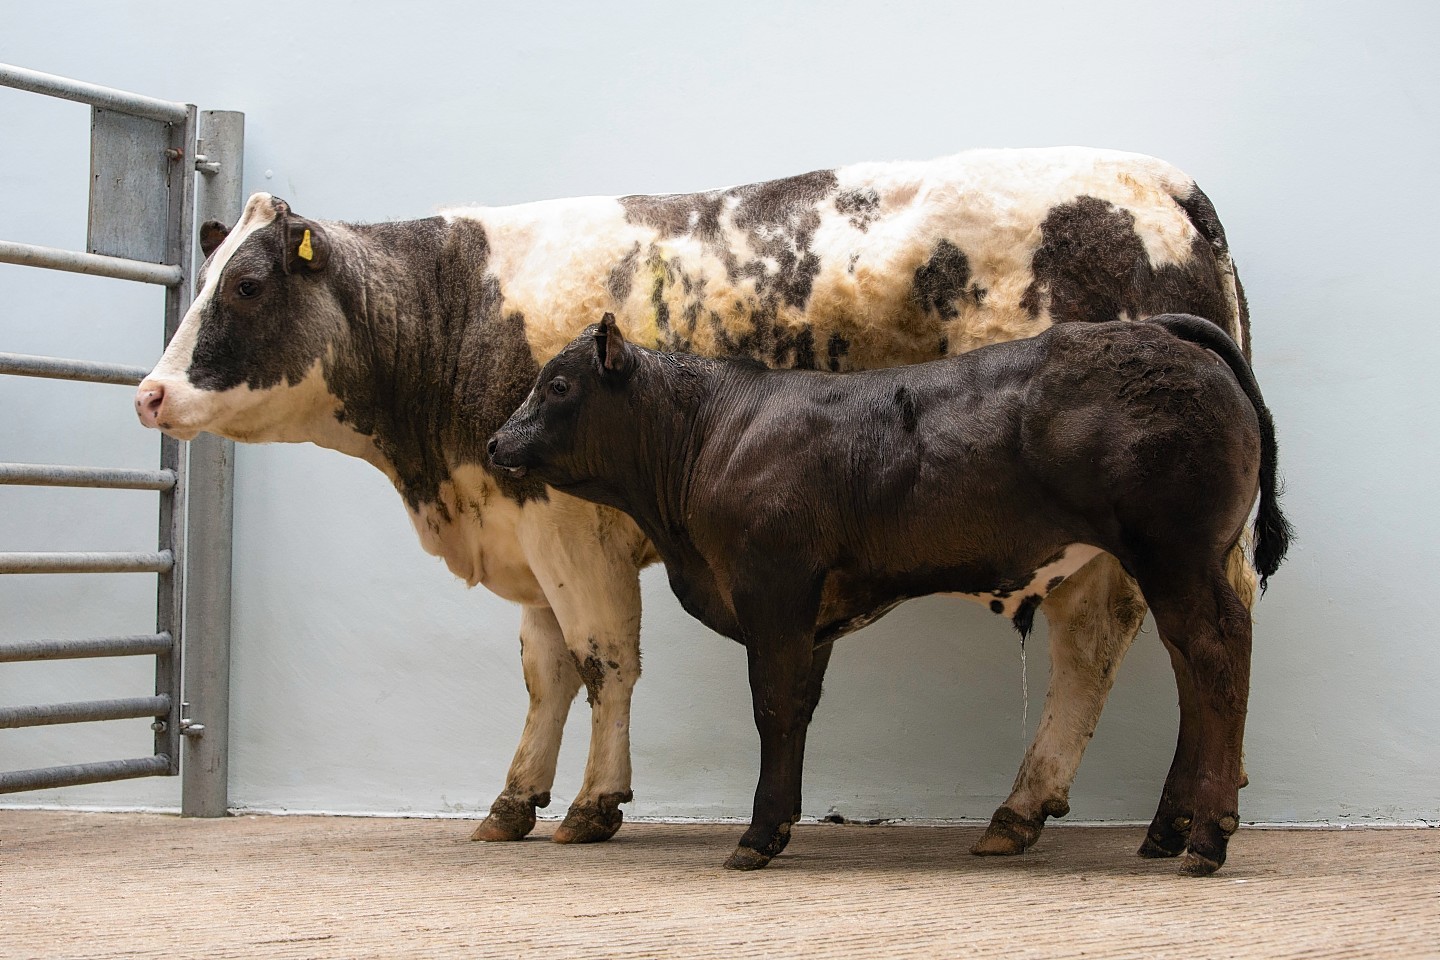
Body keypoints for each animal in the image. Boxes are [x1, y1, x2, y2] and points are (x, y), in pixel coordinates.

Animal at [489, 315, 1290, 880]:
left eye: (557, 386)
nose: (496, 443)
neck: (711, 434)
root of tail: (1156, 327)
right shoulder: (810, 617)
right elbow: (798, 710)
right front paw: (779, 826)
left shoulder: (773, 587)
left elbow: (772, 707)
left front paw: (755, 836)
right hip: (1177, 562)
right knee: (1192, 667)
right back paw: (1166, 832)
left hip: (1176, 554)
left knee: (1218, 657)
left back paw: (1207, 838)